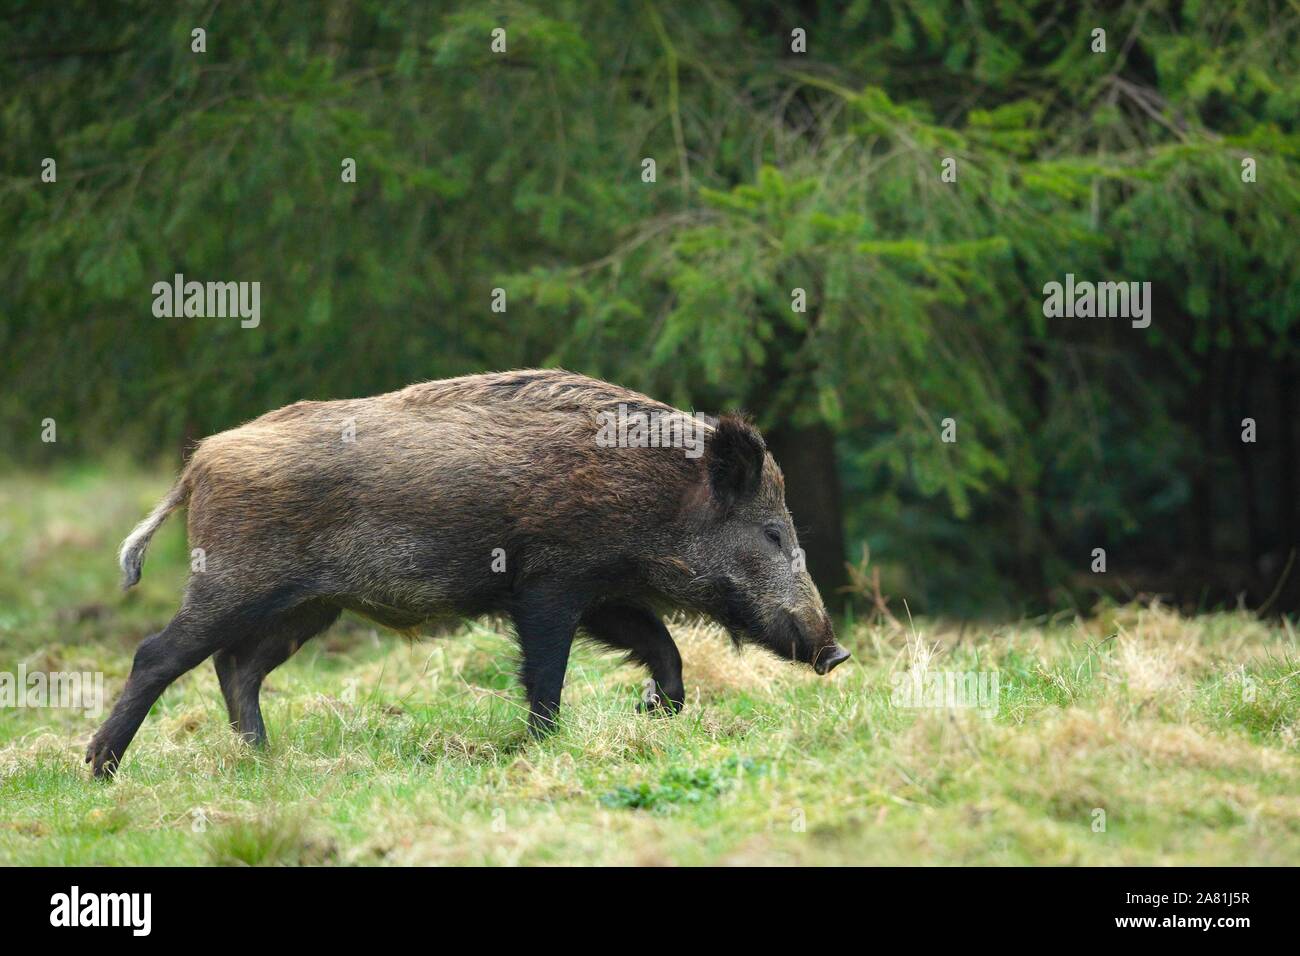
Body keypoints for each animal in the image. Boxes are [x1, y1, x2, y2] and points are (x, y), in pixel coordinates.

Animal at [87, 369, 849, 777]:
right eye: (774, 532)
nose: (836, 652)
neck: (654, 496)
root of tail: (200, 460)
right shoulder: (548, 582)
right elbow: (547, 672)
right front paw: (542, 743)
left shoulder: (602, 589)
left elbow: (661, 645)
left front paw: (654, 709)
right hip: (234, 583)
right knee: (157, 654)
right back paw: (99, 769)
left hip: (309, 607)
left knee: (237, 667)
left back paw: (264, 761)